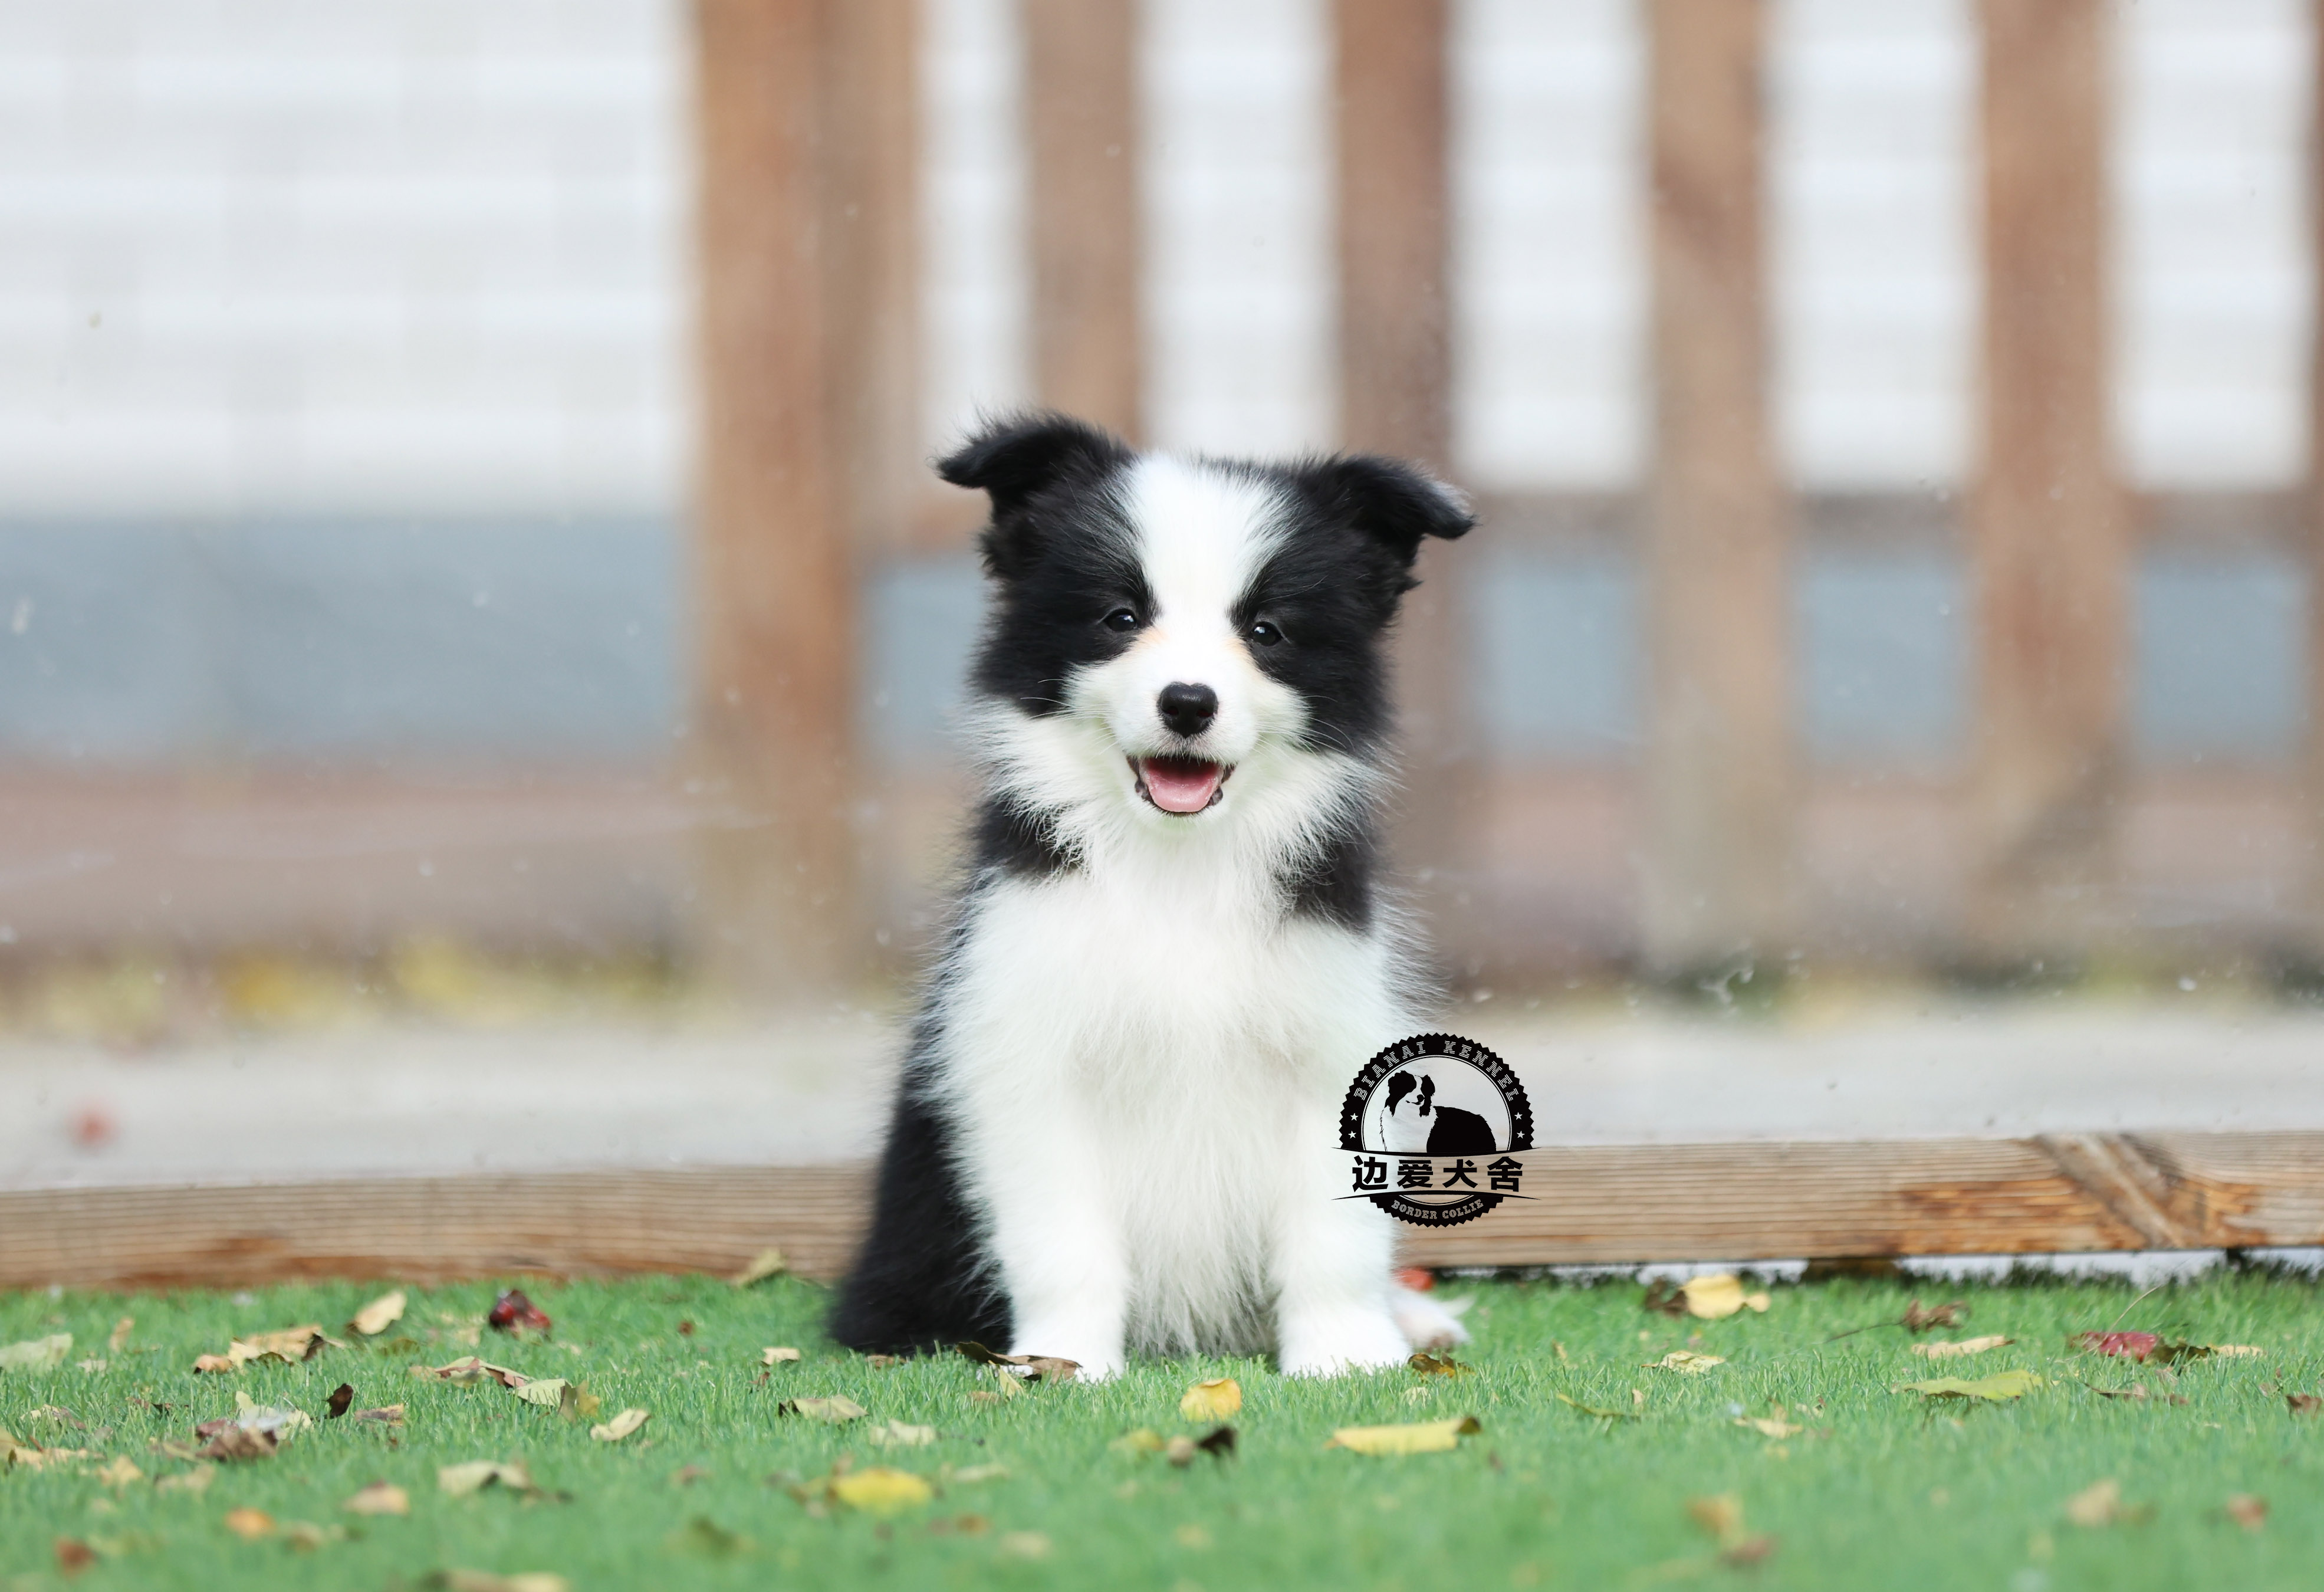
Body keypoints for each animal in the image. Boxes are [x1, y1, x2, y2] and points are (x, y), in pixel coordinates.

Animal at [836, 416, 1468, 1376]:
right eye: (1120, 618)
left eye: (1267, 630)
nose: (1188, 702)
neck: (1178, 868)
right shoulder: (1029, 1055)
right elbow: (1062, 1236)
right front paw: (1066, 1362)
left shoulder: (1326, 1030)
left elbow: (1334, 1229)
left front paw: (1345, 1354)